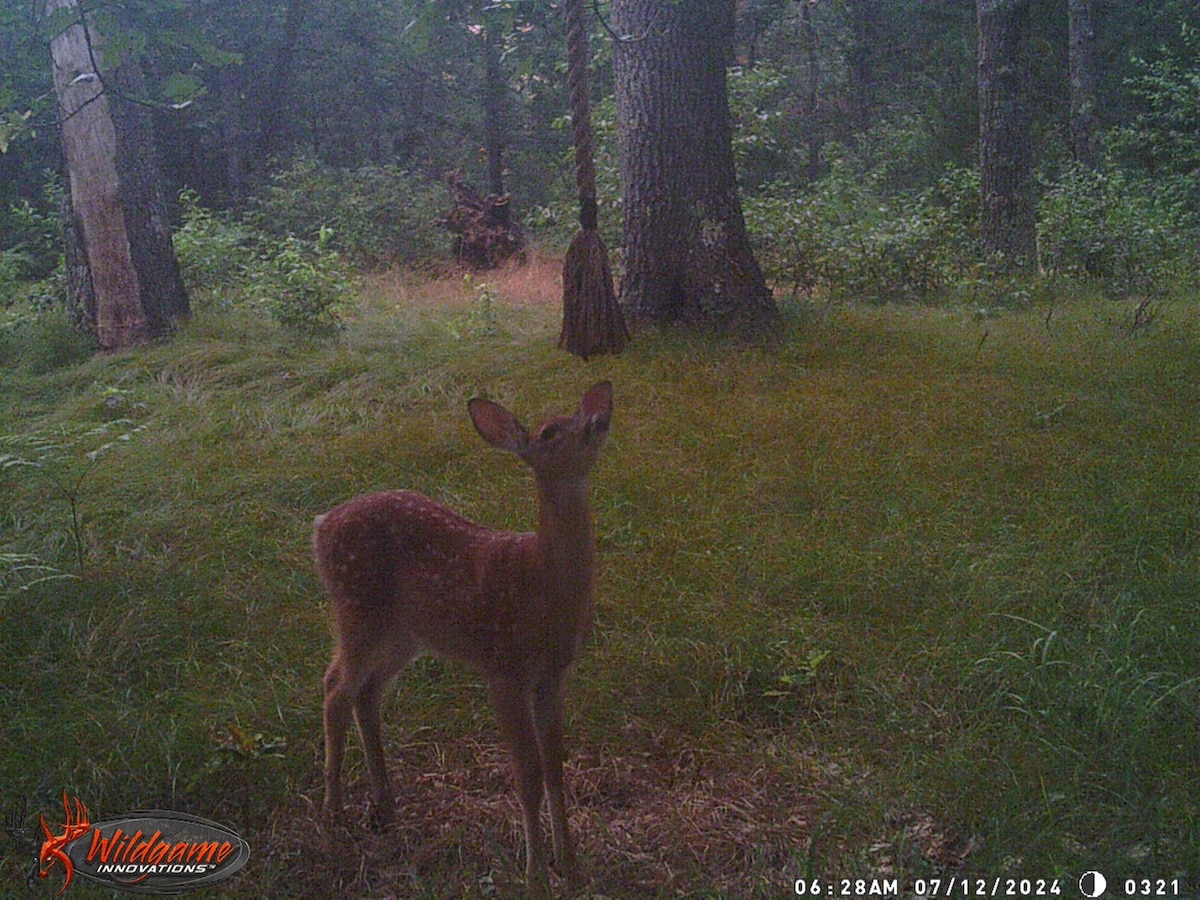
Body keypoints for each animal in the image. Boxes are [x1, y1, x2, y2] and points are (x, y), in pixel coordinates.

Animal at [314, 381, 614, 897]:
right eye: (550, 432)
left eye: (578, 414)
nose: (598, 419)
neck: (540, 584)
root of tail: (319, 528)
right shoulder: (504, 668)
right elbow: (529, 775)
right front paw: (535, 874)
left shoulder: (552, 677)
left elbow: (556, 769)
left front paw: (570, 865)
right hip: (357, 609)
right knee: (335, 688)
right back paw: (335, 812)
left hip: (404, 633)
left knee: (366, 694)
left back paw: (384, 805)